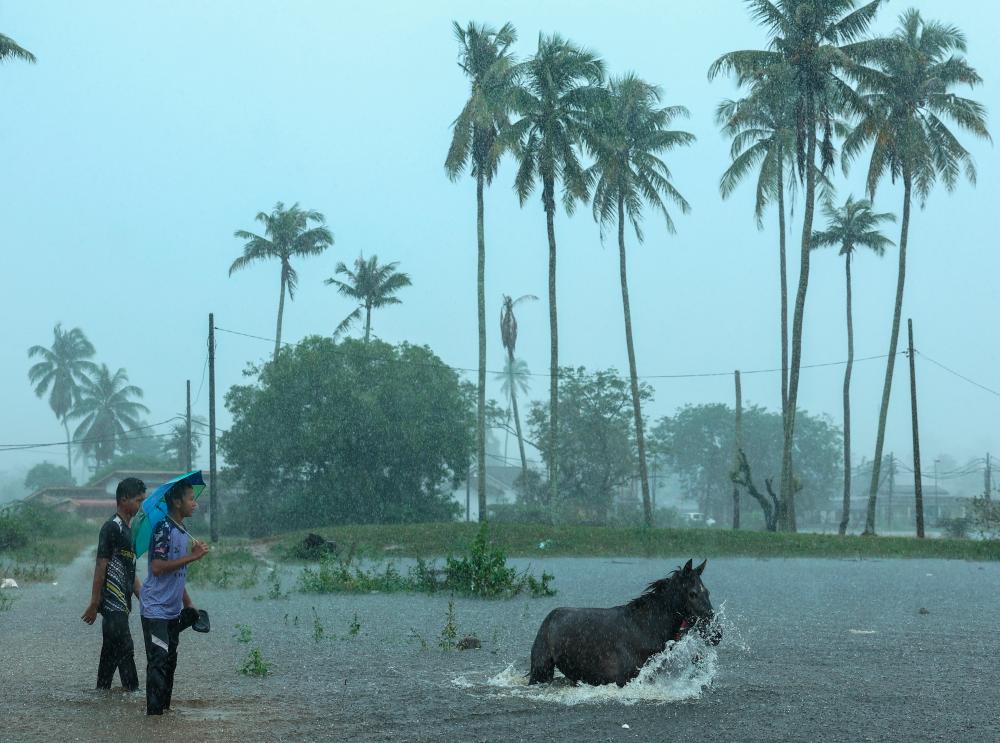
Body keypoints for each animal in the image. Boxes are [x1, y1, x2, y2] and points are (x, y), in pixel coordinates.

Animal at [532, 560, 720, 688]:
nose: (717, 633)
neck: (646, 629)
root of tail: (550, 617)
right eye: (693, 593)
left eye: (708, 592)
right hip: (540, 672)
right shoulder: (623, 680)